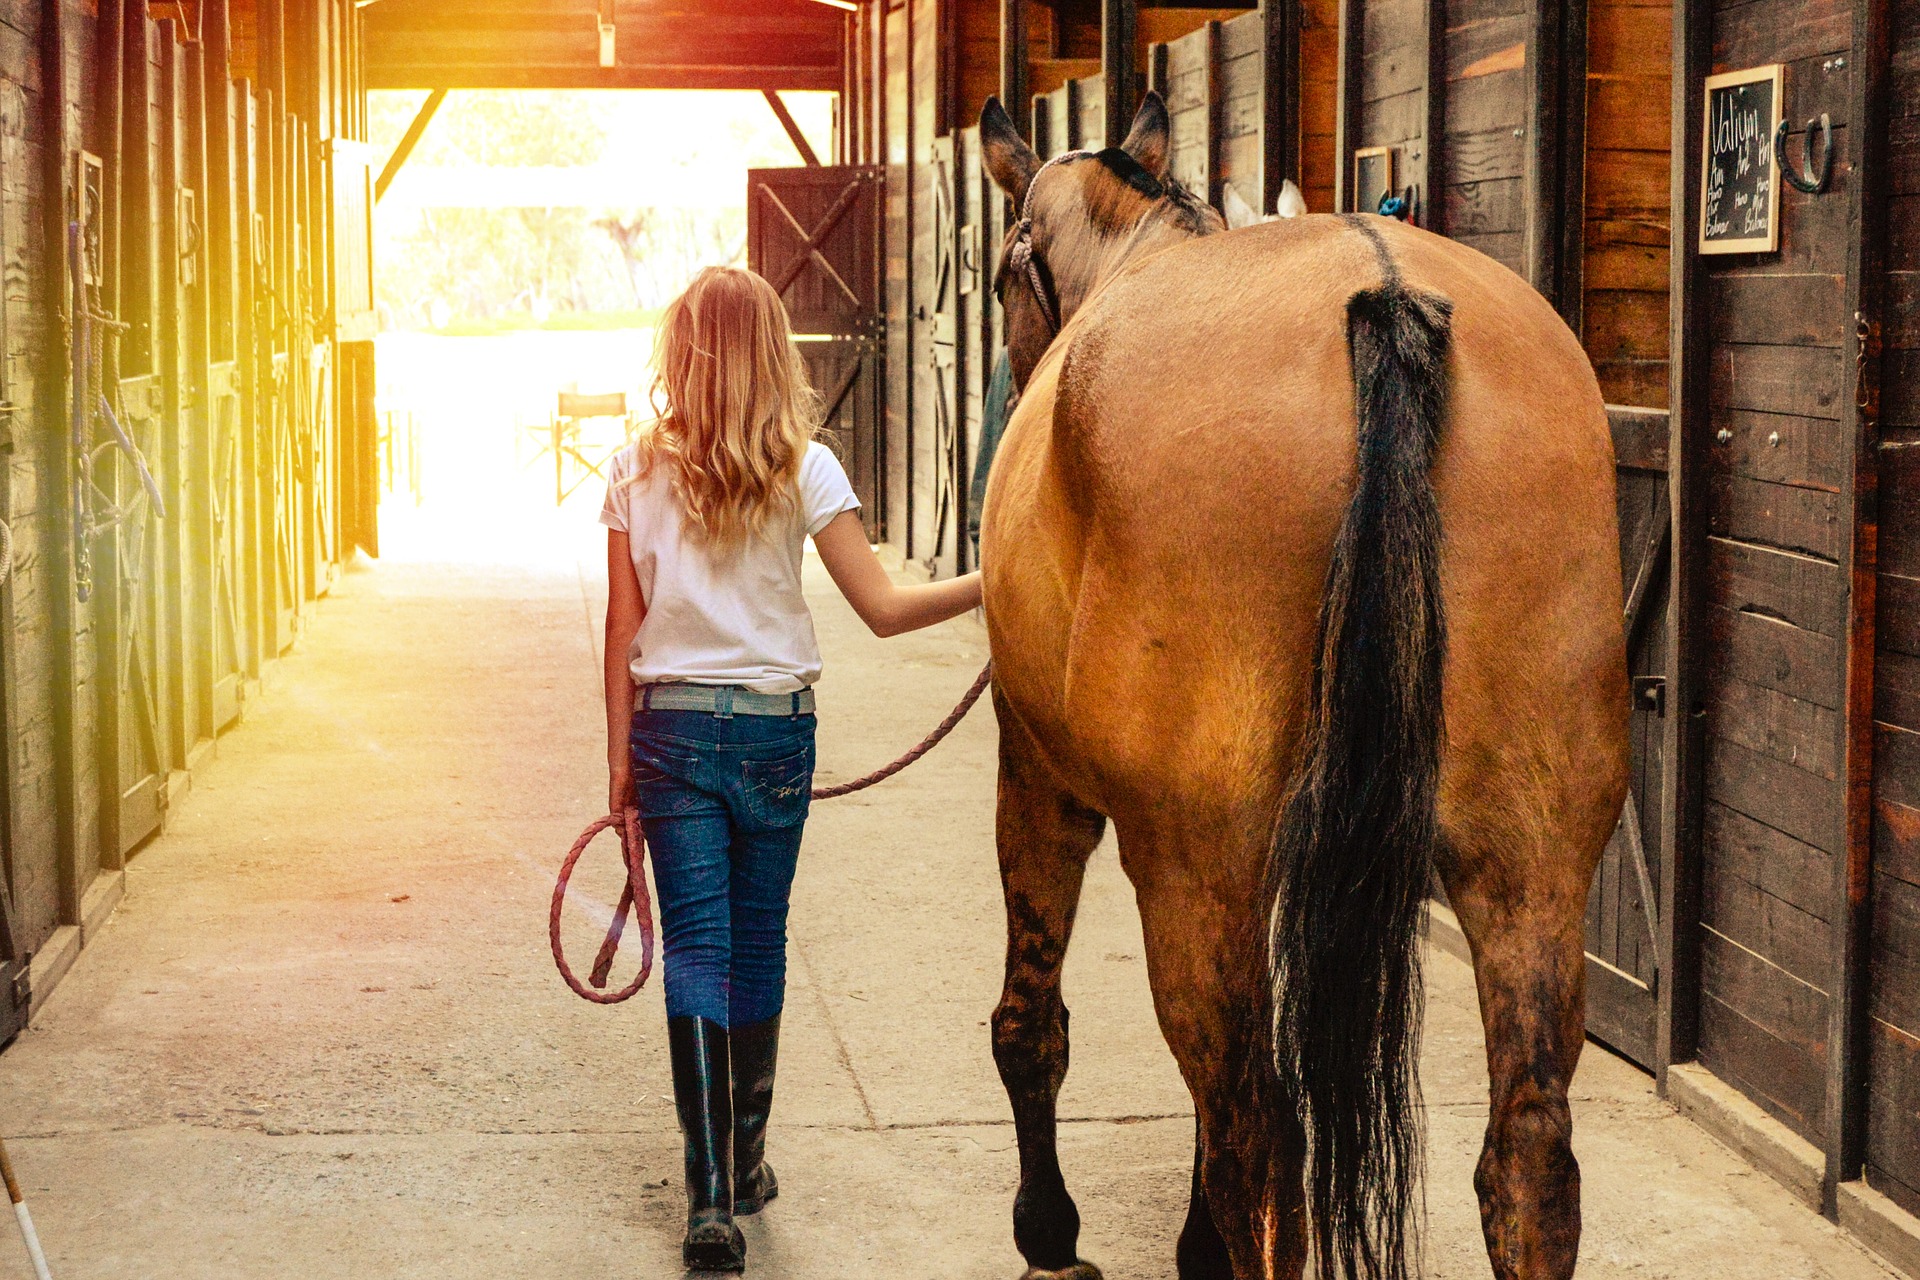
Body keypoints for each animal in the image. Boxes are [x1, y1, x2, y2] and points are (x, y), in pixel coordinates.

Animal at [975, 92, 1620, 1280]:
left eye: (1003, 275)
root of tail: (1384, 296)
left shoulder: (1037, 776)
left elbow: (1030, 1023)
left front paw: (1048, 1230)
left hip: (1195, 868)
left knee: (1258, 1141)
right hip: (1532, 865)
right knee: (1527, 1154)